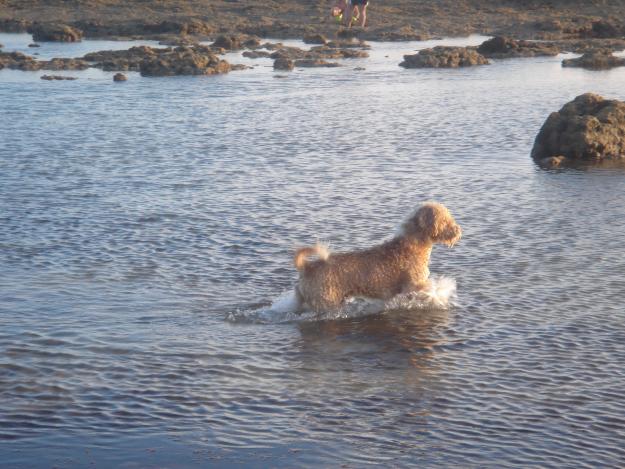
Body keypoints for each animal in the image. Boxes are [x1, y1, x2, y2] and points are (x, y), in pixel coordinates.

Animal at [292, 201, 458, 310]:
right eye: (445, 219)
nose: (458, 230)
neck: (412, 245)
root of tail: (308, 266)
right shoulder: (413, 286)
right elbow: (431, 291)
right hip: (326, 302)